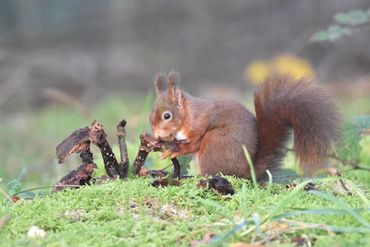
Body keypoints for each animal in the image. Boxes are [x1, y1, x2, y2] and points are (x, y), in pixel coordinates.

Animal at [149, 71, 340, 179]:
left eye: (167, 116)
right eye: (150, 115)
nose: (156, 135)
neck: (188, 115)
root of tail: (246, 172)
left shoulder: (200, 126)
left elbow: (192, 145)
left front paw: (172, 151)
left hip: (214, 141)